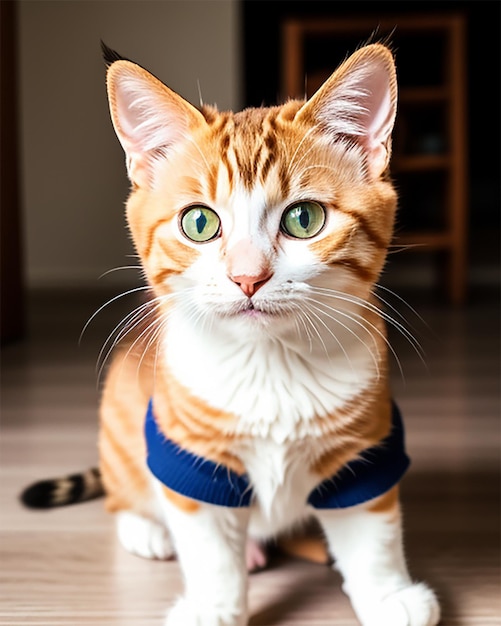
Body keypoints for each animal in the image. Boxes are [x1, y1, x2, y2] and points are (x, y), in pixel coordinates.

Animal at [21, 44, 440, 624]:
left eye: (304, 218)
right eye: (199, 223)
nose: (248, 277)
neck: (272, 366)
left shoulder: (366, 446)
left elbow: (371, 531)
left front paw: (386, 594)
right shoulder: (191, 455)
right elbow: (209, 546)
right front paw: (213, 606)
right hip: (121, 416)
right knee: (123, 490)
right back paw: (149, 529)